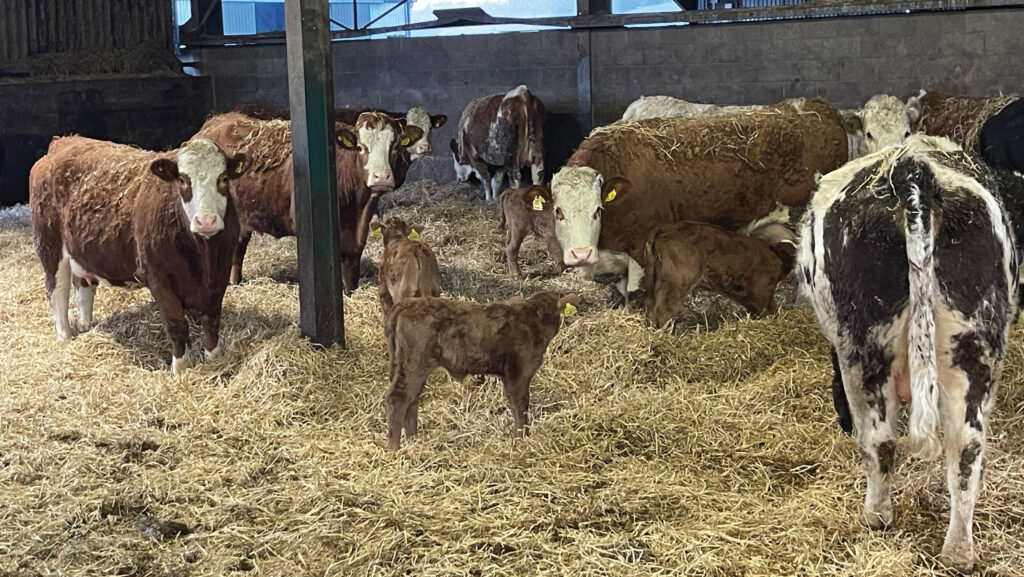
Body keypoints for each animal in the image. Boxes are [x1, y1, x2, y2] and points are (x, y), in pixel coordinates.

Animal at [29, 136, 248, 375]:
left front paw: (214, 359)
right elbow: (176, 325)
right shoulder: (159, 278)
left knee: (83, 288)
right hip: (49, 246)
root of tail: (64, 141)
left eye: (223, 178)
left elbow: (212, 320)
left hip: (82, 253)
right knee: (57, 291)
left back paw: (87, 326)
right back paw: (65, 336)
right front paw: (181, 368)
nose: (206, 221)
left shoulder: (219, 274)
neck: (203, 257)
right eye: (182, 180)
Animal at [194, 111, 422, 291]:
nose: (381, 177)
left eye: (394, 147)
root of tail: (214, 122)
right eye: (360, 147)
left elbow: (351, 274)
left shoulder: (357, 236)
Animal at [384, 291, 577, 450]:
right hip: (414, 364)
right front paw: (522, 436)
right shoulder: (519, 371)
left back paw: (413, 441)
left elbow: (513, 404)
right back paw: (395, 449)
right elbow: (520, 404)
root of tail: (407, 303)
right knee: (399, 398)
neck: (532, 319)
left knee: (412, 400)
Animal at [641, 219, 796, 328]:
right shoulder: (762, 291)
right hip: (677, 281)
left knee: (650, 305)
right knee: (663, 310)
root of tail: (666, 228)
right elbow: (770, 311)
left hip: (654, 280)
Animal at [797, 134, 1019, 573]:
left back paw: (876, 515)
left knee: (879, 440)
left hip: (864, 346)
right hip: (976, 346)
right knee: (966, 448)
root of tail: (912, 168)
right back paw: (958, 553)